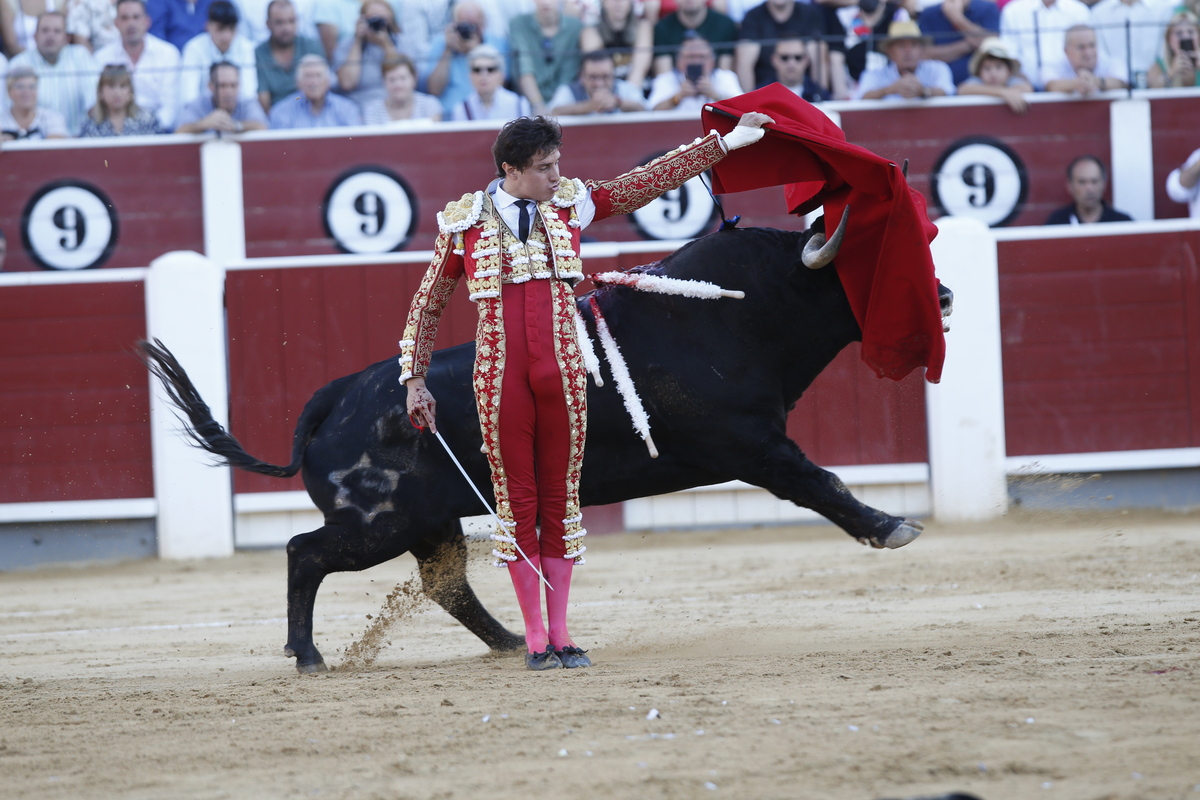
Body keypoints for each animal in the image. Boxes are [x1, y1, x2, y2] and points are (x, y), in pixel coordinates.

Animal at [138, 225, 945, 676]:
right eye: (866, 265)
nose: (941, 293)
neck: (735, 312)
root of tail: (336, 395)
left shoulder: (754, 443)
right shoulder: (754, 446)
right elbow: (819, 482)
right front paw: (891, 527)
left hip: (427, 522)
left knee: (445, 584)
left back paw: (508, 643)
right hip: (376, 524)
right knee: (304, 552)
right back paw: (308, 657)